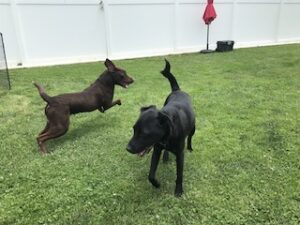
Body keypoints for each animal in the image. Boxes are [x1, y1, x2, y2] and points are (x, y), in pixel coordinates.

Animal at [126, 59, 195, 196]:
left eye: (145, 133)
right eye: (134, 129)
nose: (128, 148)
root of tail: (177, 90)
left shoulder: (180, 154)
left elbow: (179, 174)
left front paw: (178, 191)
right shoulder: (157, 149)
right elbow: (151, 174)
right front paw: (157, 184)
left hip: (193, 128)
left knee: (190, 137)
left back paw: (189, 147)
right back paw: (166, 157)